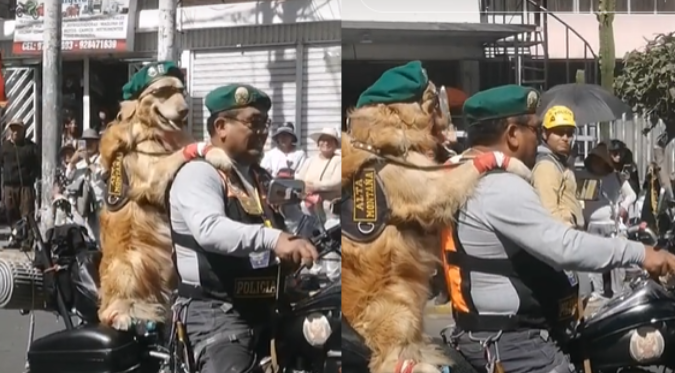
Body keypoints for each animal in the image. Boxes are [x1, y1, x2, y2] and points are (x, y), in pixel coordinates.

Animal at [95, 61, 232, 332]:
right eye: (162, 91)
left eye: (180, 90)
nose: (184, 110)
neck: (154, 131)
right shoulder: (151, 174)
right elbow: (183, 152)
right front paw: (214, 153)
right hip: (131, 261)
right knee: (109, 308)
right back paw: (124, 316)